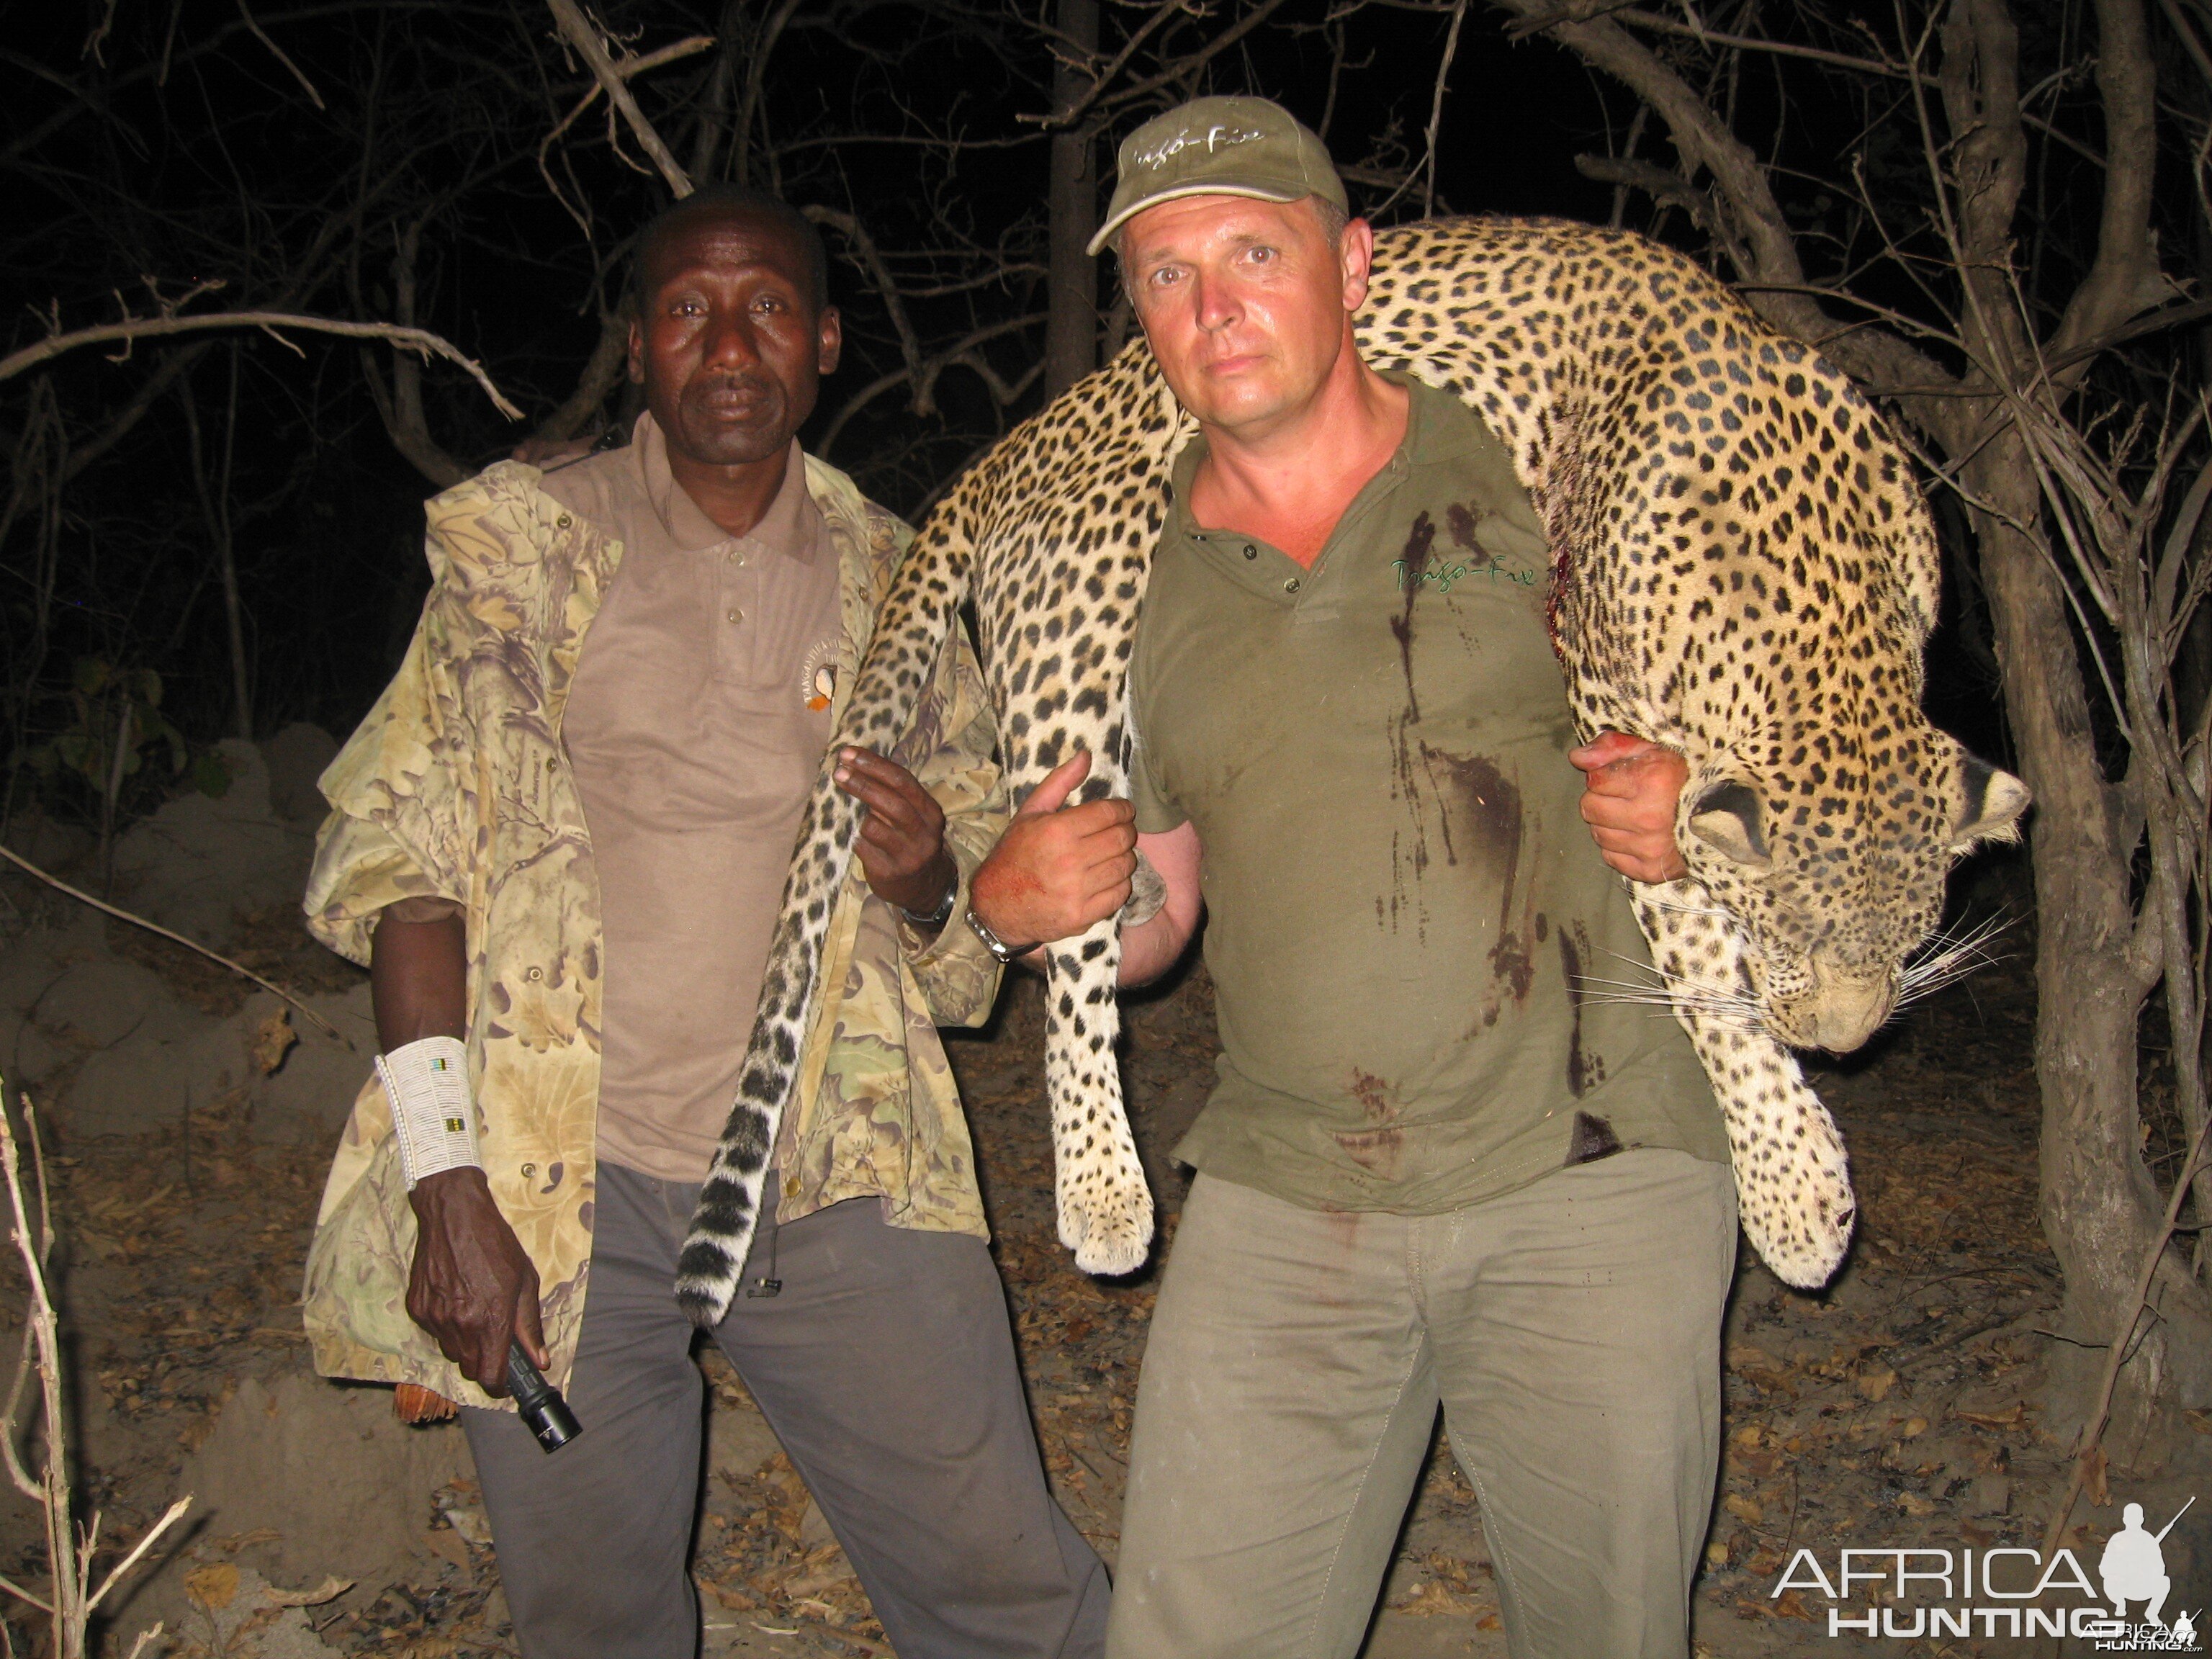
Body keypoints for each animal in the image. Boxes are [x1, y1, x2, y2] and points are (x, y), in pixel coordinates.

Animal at [667, 214, 2026, 1327]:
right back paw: (1104, 1189)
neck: (1820, 610)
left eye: (1914, 935)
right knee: (1070, 956)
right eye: (1789, 934)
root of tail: (1018, 440)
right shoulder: (1617, 725)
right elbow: (1699, 966)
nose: (1845, 1039)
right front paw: (1795, 1184)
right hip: (1082, 625)